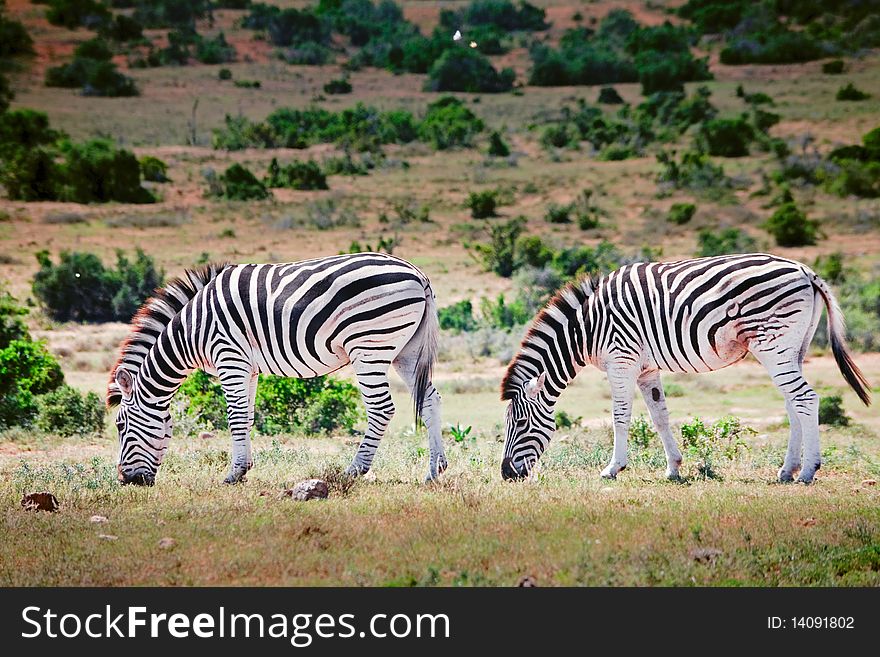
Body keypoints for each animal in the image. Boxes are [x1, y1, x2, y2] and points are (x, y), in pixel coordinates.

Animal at [105, 254, 444, 484]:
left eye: (120, 426)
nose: (126, 481)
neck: (191, 331)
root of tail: (418, 274)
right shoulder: (248, 367)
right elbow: (247, 417)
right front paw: (244, 469)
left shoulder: (229, 356)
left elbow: (235, 418)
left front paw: (233, 474)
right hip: (407, 351)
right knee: (430, 400)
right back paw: (435, 470)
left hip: (369, 345)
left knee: (382, 409)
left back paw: (354, 470)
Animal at [502, 254, 872, 484]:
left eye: (520, 424)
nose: (506, 474)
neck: (587, 328)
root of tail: (806, 271)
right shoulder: (646, 369)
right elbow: (659, 416)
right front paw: (674, 469)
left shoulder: (621, 360)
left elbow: (620, 416)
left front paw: (613, 468)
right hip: (793, 347)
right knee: (793, 403)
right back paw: (787, 471)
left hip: (772, 344)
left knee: (805, 399)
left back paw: (808, 472)